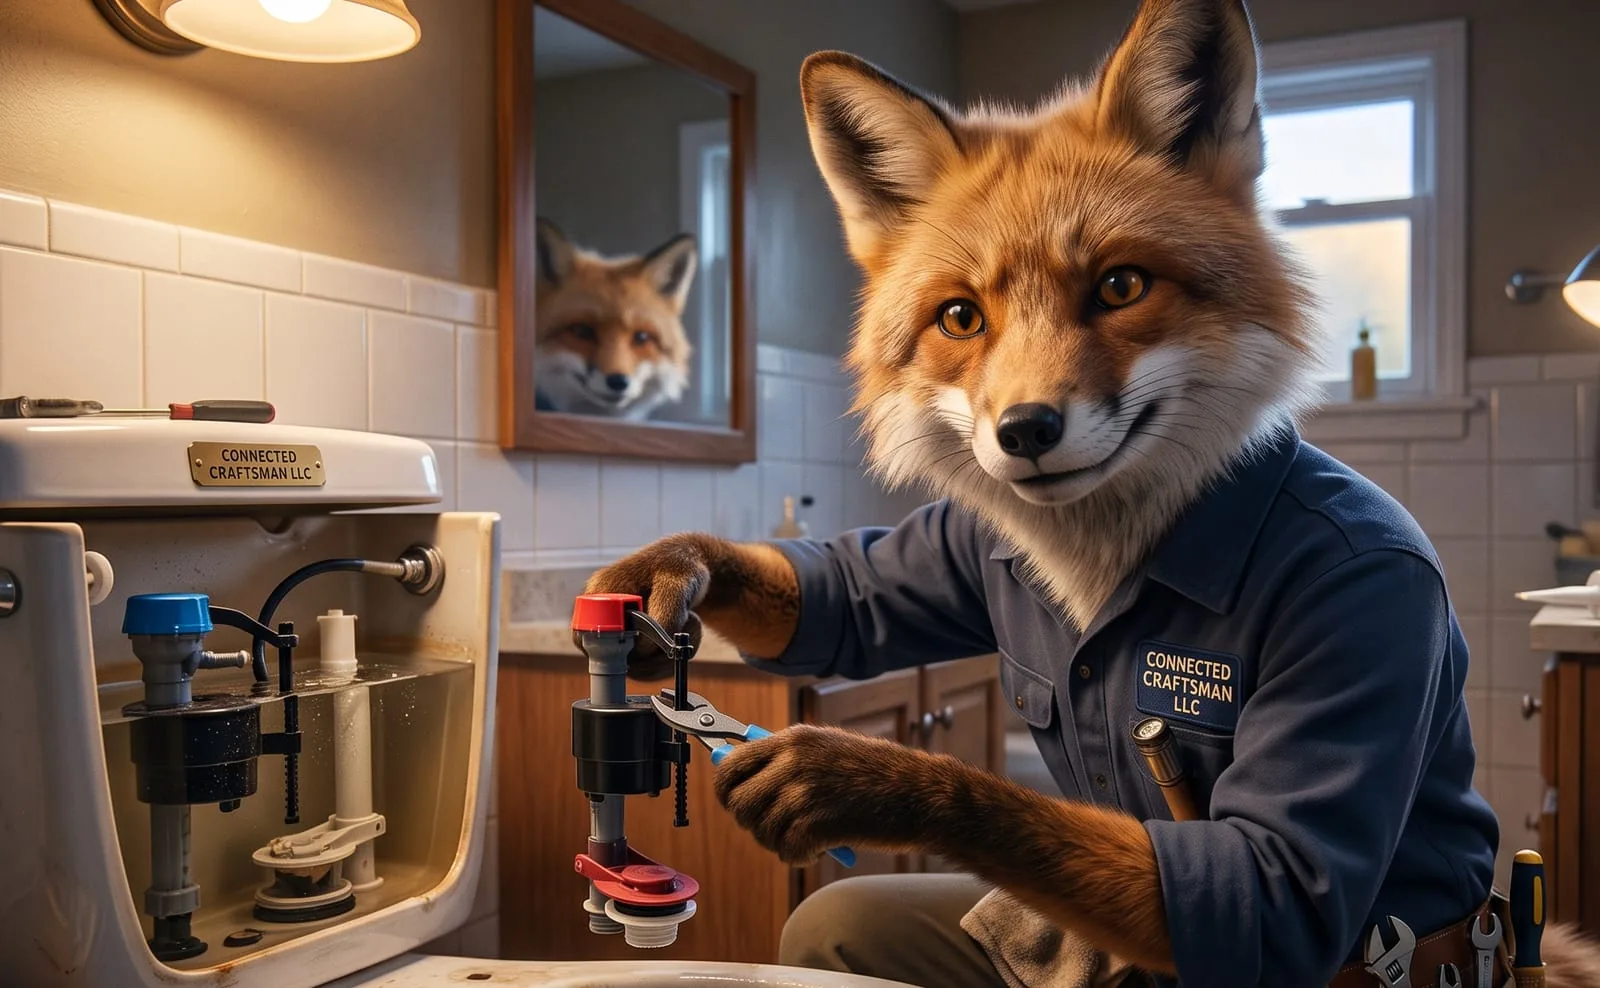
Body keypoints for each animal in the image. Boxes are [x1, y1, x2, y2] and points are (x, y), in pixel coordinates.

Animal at [586, 0, 1600, 985]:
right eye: (962, 316)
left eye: (1120, 285)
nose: (1024, 432)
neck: (1104, 563)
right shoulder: (950, 546)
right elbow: (839, 598)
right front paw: (660, 571)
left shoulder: (1357, 599)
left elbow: (1255, 888)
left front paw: (852, 773)